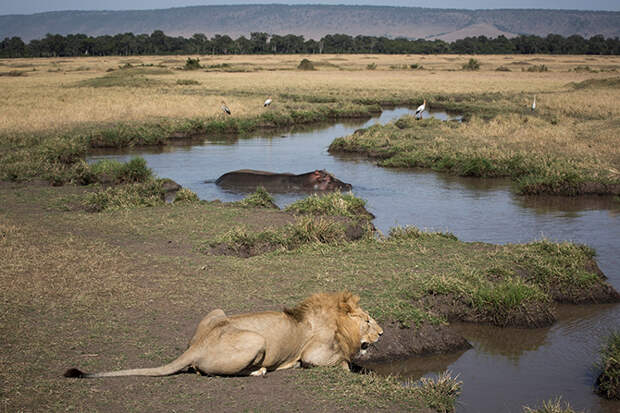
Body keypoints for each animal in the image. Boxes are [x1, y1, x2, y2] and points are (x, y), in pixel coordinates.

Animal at [64, 290, 382, 376]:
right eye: (368, 320)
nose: (381, 333)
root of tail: (198, 345)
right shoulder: (312, 355)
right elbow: (341, 360)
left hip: (217, 311)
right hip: (256, 339)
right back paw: (259, 371)